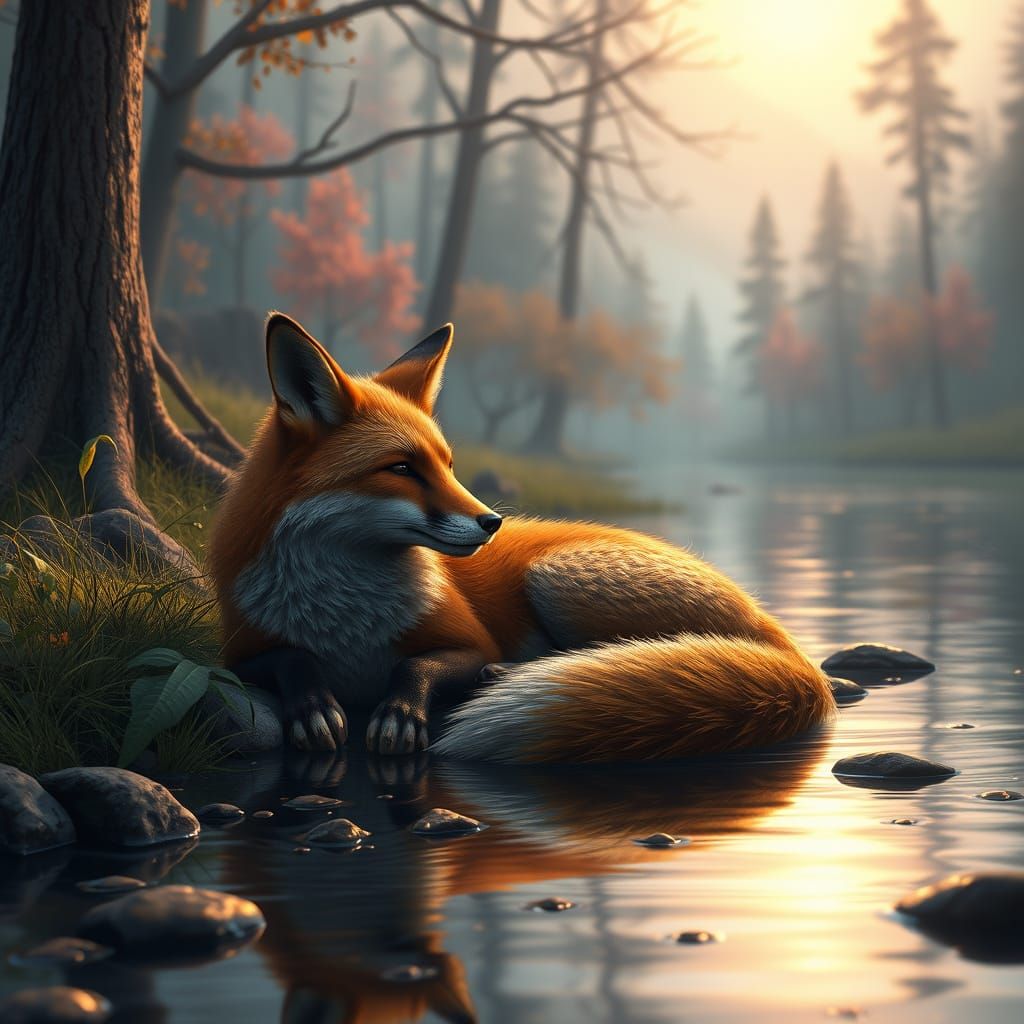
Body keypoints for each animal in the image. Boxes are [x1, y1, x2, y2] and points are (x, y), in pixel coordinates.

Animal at [208, 312, 835, 762]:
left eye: (448, 465)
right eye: (403, 469)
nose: (492, 523)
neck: (344, 622)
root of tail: (784, 640)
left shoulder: (471, 641)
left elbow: (416, 666)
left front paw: (400, 711)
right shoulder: (239, 652)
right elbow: (290, 659)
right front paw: (313, 705)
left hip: (555, 577)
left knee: (623, 652)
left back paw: (514, 675)